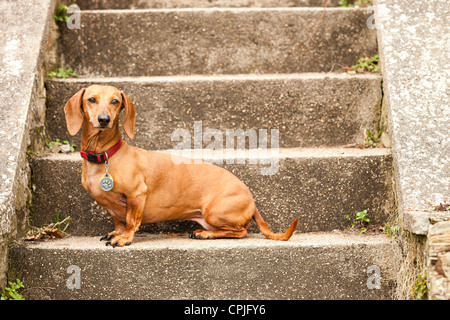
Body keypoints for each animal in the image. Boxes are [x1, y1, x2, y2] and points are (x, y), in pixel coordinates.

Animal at [62, 85, 296, 248]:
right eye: (91, 99)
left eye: (115, 101)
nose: (104, 119)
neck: (105, 154)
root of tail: (251, 199)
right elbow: (118, 221)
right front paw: (117, 233)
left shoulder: (137, 195)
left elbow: (130, 221)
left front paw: (124, 238)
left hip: (213, 212)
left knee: (242, 231)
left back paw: (206, 234)